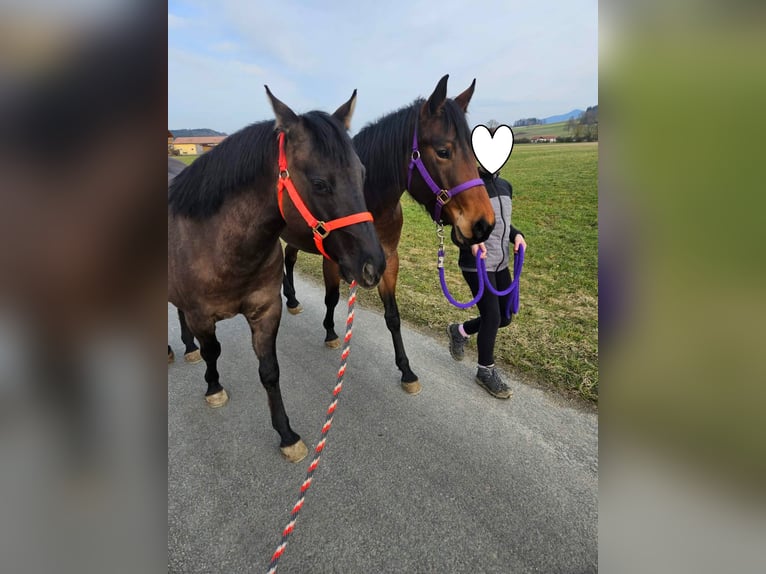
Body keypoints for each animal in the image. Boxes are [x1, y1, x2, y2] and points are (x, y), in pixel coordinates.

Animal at [168, 87, 386, 462]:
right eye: (319, 183)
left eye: (362, 173)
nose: (373, 265)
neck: (220, 247)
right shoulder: (202, 317)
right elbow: (213, 351)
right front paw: (213, 387)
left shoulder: (267, 310)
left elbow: (270, 371)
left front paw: (286, 434)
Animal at [282, 75, 495, 395]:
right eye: (443, 151)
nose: (483, 223)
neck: (369, 201)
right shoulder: (332, 260)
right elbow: (332, 297)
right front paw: (330, 332)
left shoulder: (388, 260)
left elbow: (393, 317)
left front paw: (406, 370)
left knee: (288, 257)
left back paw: (292, 299)